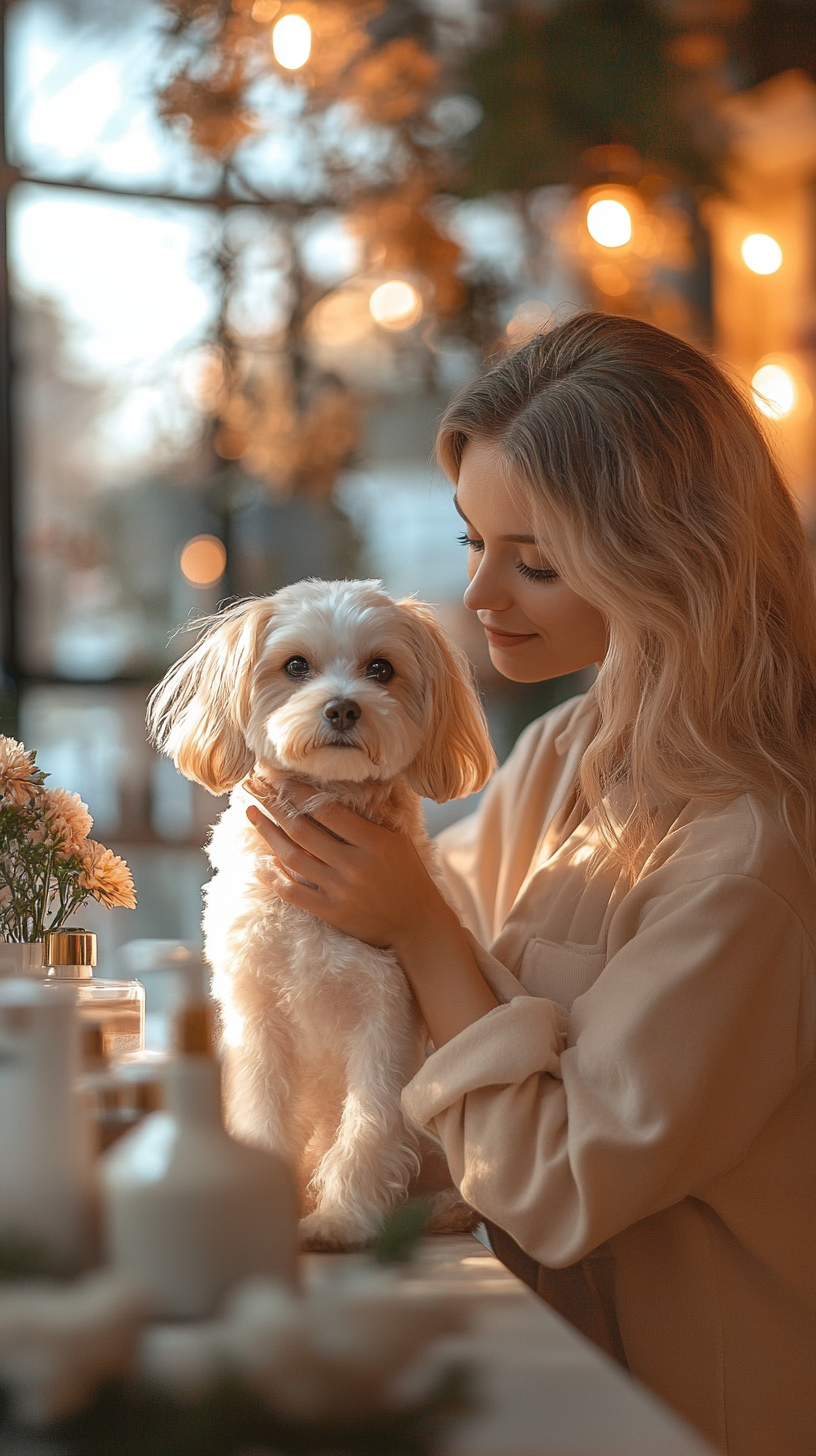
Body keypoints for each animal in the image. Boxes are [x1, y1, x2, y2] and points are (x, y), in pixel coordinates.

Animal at [147, 579, 495, 1252]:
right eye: (295, 666)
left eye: (381, 669)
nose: (342, 709)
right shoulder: (256, 1019)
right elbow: (260, 1116)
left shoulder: (387, 1015)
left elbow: (368, 1125)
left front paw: (340, 1220)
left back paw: (437, 1210)